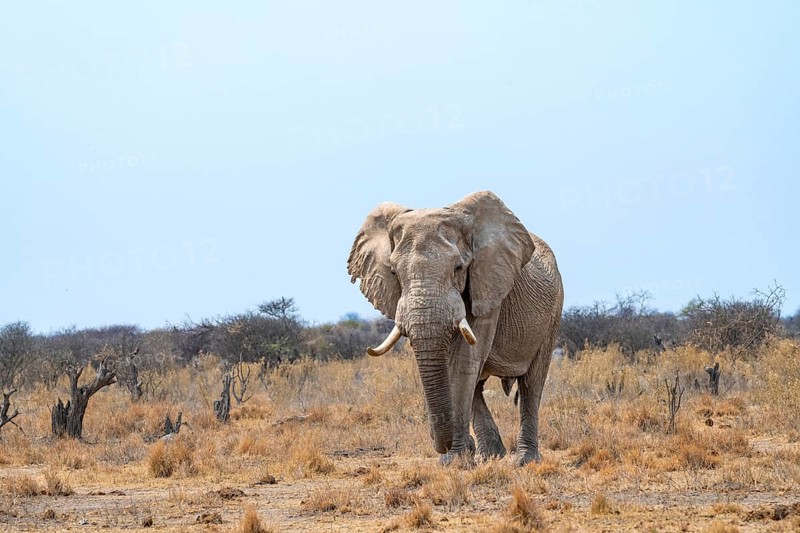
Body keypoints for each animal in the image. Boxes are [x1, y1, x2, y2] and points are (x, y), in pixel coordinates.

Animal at [347, 191, 563, 466]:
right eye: (394, 272)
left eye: (458, 268)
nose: (440, 445)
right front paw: (458, 457)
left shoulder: (488, 283)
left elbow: (463, 362)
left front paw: (454, 461)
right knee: (478, 386)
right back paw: (490, 455)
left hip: (553, 313)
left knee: (531, 385)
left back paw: (524, 460)